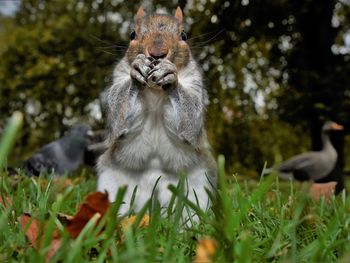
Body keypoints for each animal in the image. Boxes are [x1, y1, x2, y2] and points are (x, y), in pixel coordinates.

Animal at [95, 6, 216, 217]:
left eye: (184, 35)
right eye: (132, 34)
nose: (157, 53)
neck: (155, 89)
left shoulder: (196, 84)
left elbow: (190, 121)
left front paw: (170, 75)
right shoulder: (118, 79)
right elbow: (119, 115)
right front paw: (138, 69)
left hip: (197, 189)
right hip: (111, 184)